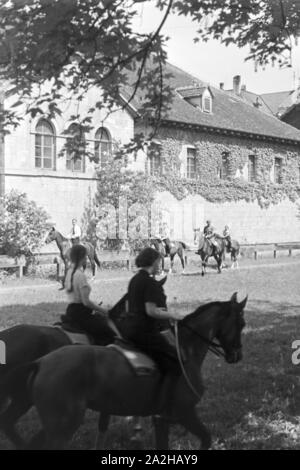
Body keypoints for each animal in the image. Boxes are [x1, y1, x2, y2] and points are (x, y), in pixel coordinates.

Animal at [0, 292, 246, 450]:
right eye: (241, 324)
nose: (237, 356)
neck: (185, 348)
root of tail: (41, 363)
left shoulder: (160, 418)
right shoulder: (184, 412)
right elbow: (205, 439)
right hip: (59, 422)